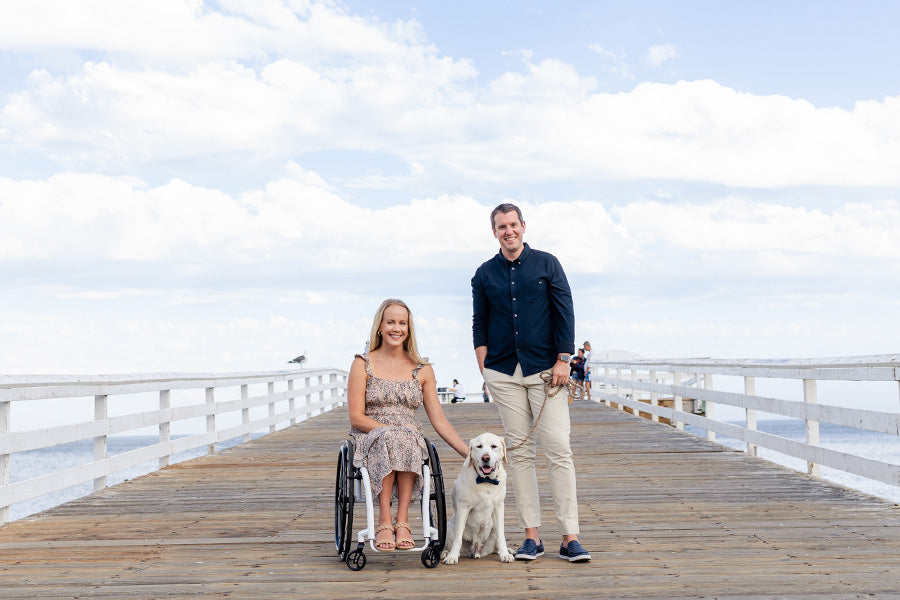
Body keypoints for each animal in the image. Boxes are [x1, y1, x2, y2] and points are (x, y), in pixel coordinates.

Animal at [442, 432, 512, 564]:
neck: (486, 481)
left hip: (493, 528)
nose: (486, 458)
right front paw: (452, 556)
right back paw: (445, 553)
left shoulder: (499, 506)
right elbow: (458, 537)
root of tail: (476, 548)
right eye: (479, 446)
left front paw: (505, 554)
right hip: (449, 527)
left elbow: (502, 536)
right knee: (447, 544)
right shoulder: (463, 507)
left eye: (494, 446)